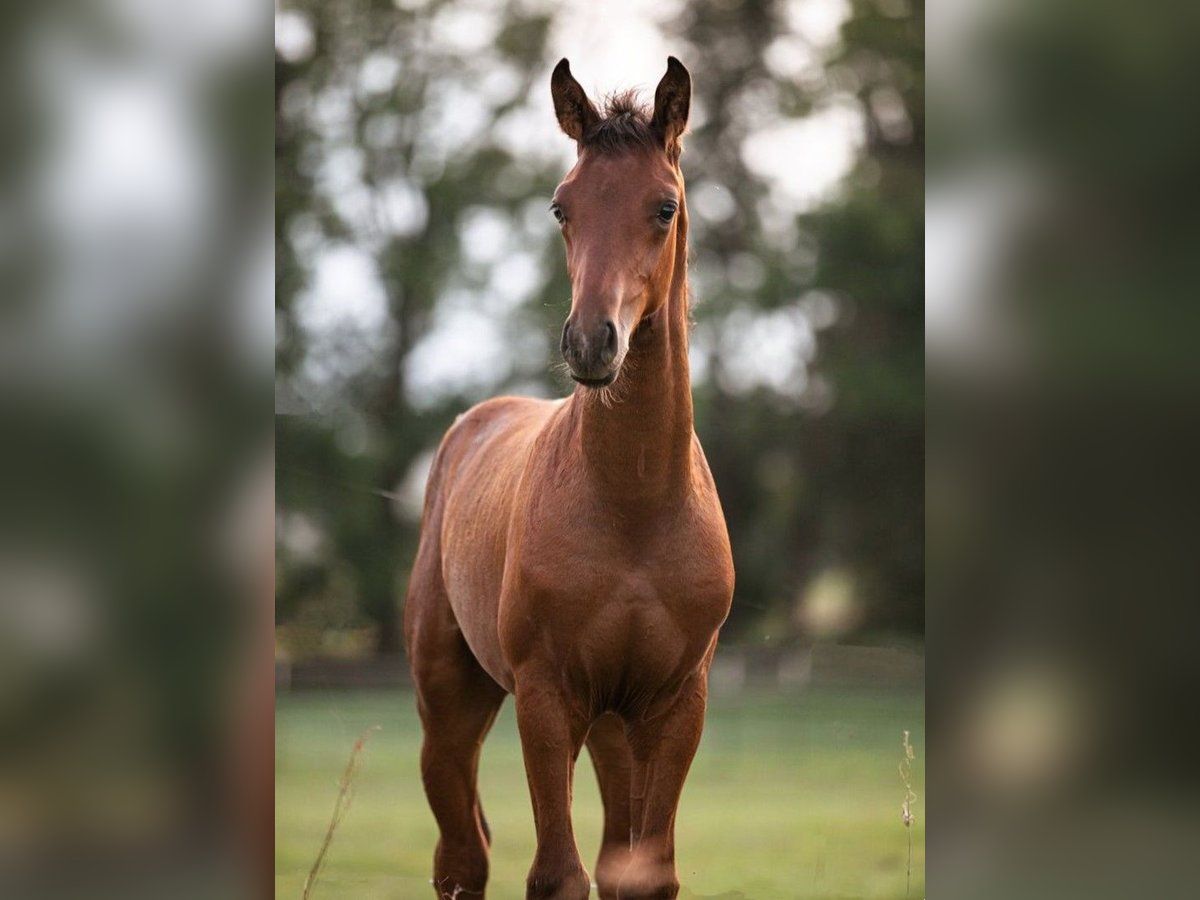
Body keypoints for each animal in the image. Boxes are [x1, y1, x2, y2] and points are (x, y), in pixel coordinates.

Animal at [403, 57, 734, 900]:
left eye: (664, 207)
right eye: (562, 206)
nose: (591, 343)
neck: (635, 506)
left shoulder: (675, 704)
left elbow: (645, 875)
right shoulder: (546, 697)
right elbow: (557, 875)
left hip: (615, 730)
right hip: (451, 706)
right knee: (461, 860)